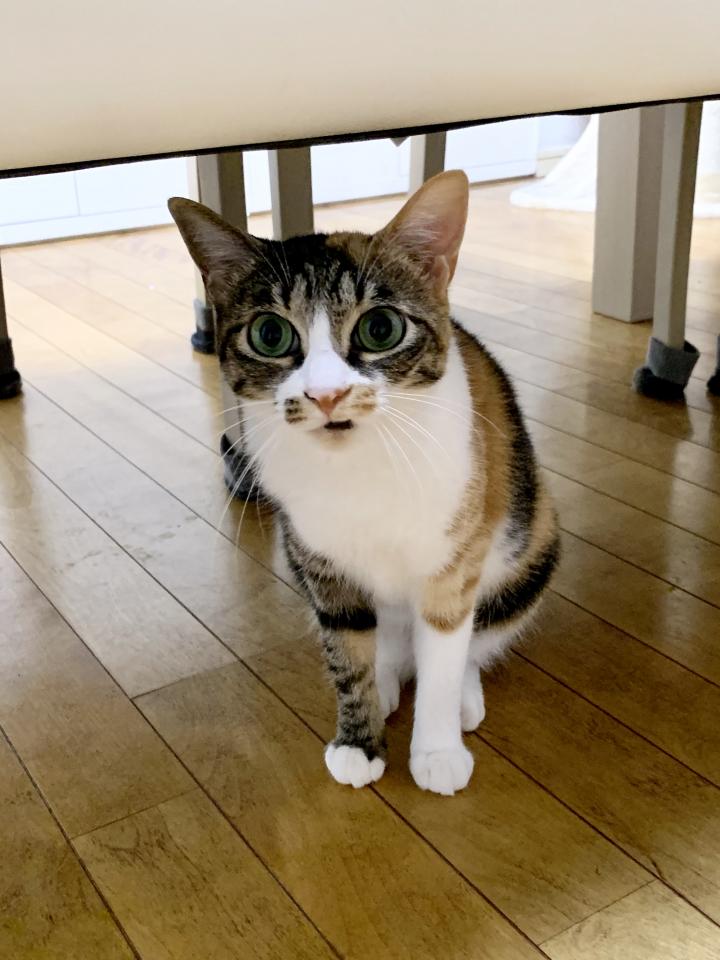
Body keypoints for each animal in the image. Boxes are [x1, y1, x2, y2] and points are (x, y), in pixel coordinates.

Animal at [169, 171, 559, 796]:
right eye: (270, 334)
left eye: (381, 328)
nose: (326, 395)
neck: (358, 468)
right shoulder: (320, 559)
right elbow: (345, 650)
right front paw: (359, 739)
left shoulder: (453, 557)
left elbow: (447, 647)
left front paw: (437, 750)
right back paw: (388, 677)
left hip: (532, 544)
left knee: (478, 635)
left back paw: (460, 694)